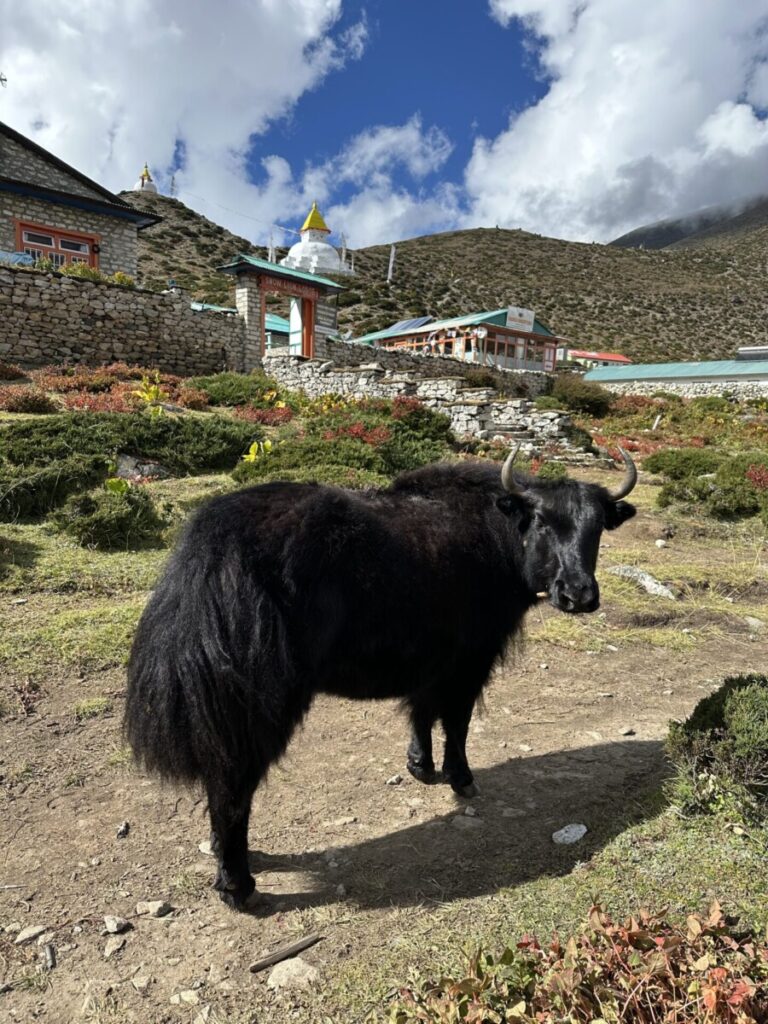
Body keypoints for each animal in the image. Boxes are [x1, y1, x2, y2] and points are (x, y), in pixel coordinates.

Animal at [124, 449, 637, 910]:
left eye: (597, 529)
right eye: (544, 522)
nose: (579, 596)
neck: (498, 536)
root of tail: (207, 553)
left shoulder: (431, 660)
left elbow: (421, 711)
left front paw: (420, 767)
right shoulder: (471, 658)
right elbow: (457, 720)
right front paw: (461, 778)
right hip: (256, 704)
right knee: (232, 785)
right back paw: (239, 885)